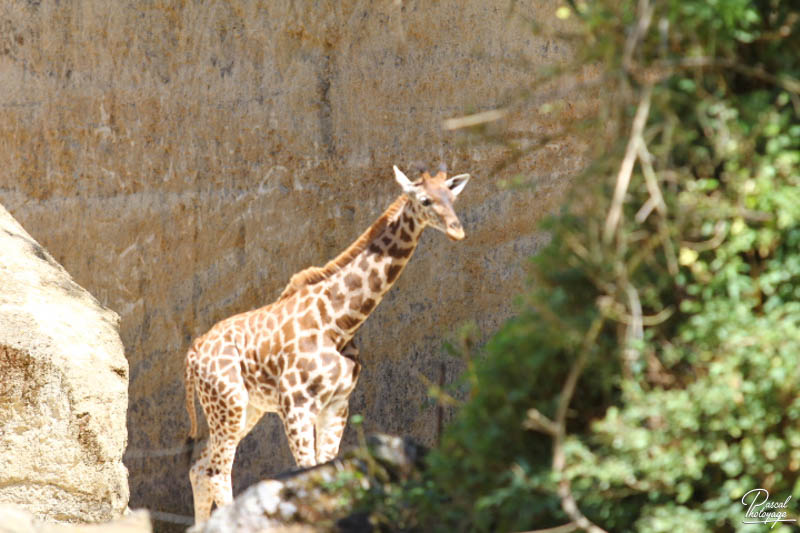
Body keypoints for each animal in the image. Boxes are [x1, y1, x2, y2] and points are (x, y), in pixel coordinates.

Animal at [183, 164, 468, 520]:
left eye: (452, 197)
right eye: (425, 200)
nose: (457, 231)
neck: (340, 323)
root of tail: (192, 354)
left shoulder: (337, 404)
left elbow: (326, 468)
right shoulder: (296, 406)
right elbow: (305, 471)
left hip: (244, 409)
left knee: (198, 467)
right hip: (228, 403)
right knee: (217, 472)